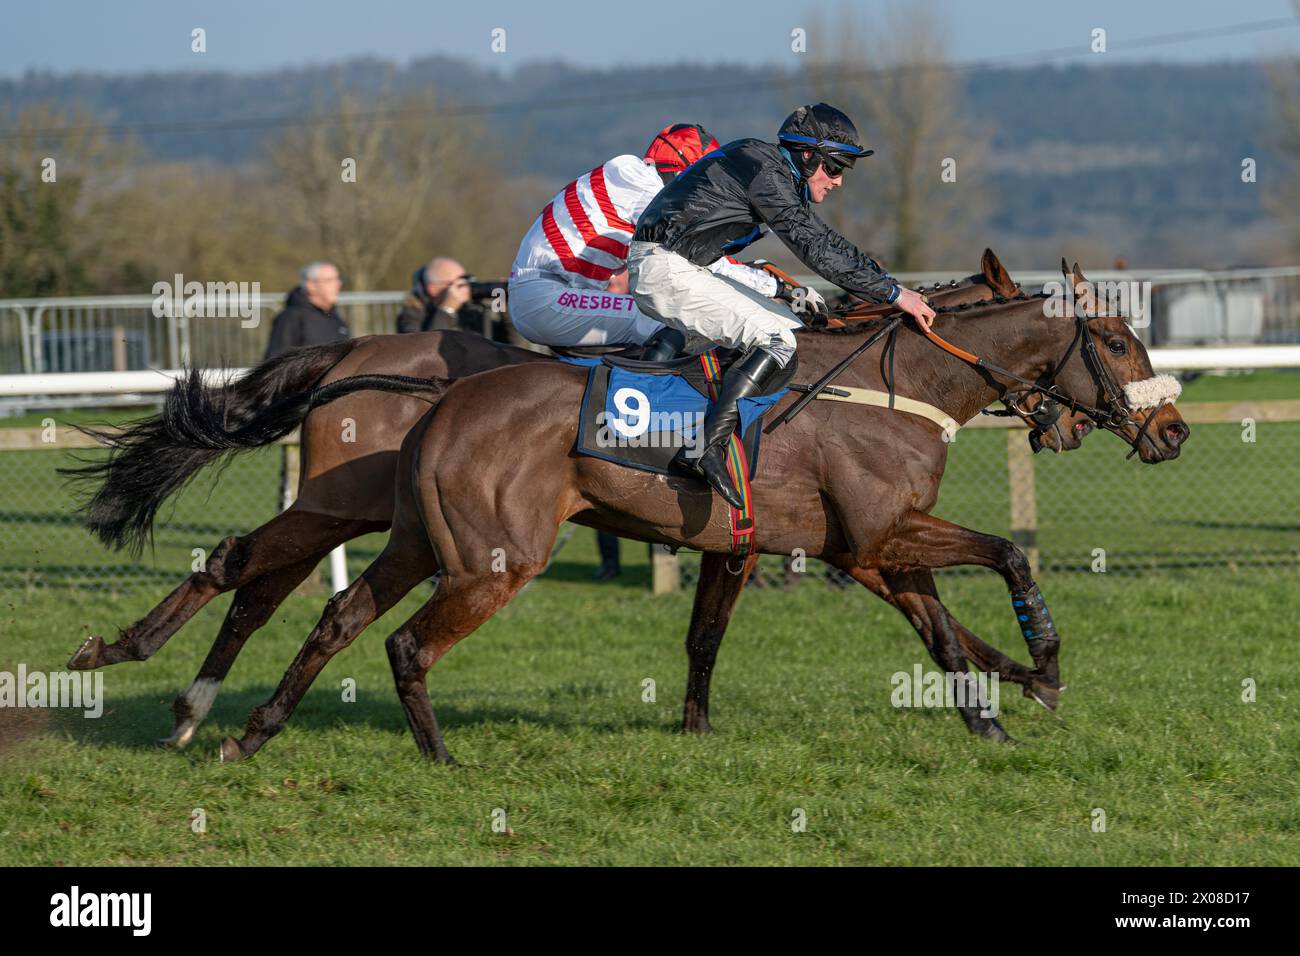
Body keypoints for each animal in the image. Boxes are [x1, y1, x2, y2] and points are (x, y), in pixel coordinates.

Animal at [65, 248, 1050, 749]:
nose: (1075, 422)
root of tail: (351, 352)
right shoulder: (847, 532)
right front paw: (1026, 674)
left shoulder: (772, 537)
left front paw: (1015, 679)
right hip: (369, 510)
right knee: (251, 568)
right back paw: (154, 674)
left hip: (369, 513)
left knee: (274, 584)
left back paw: (198, 706)